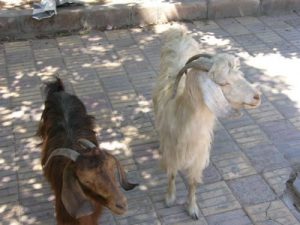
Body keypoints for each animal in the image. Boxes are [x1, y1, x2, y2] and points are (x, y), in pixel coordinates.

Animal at [152, 26, 260, 220]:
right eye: (223, 83)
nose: (257, 97)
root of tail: (179, 31)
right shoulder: (172, 151)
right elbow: (171, 174)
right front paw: (170, 198)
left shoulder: (199, 154)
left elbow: (193, 183)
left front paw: (193, 209)